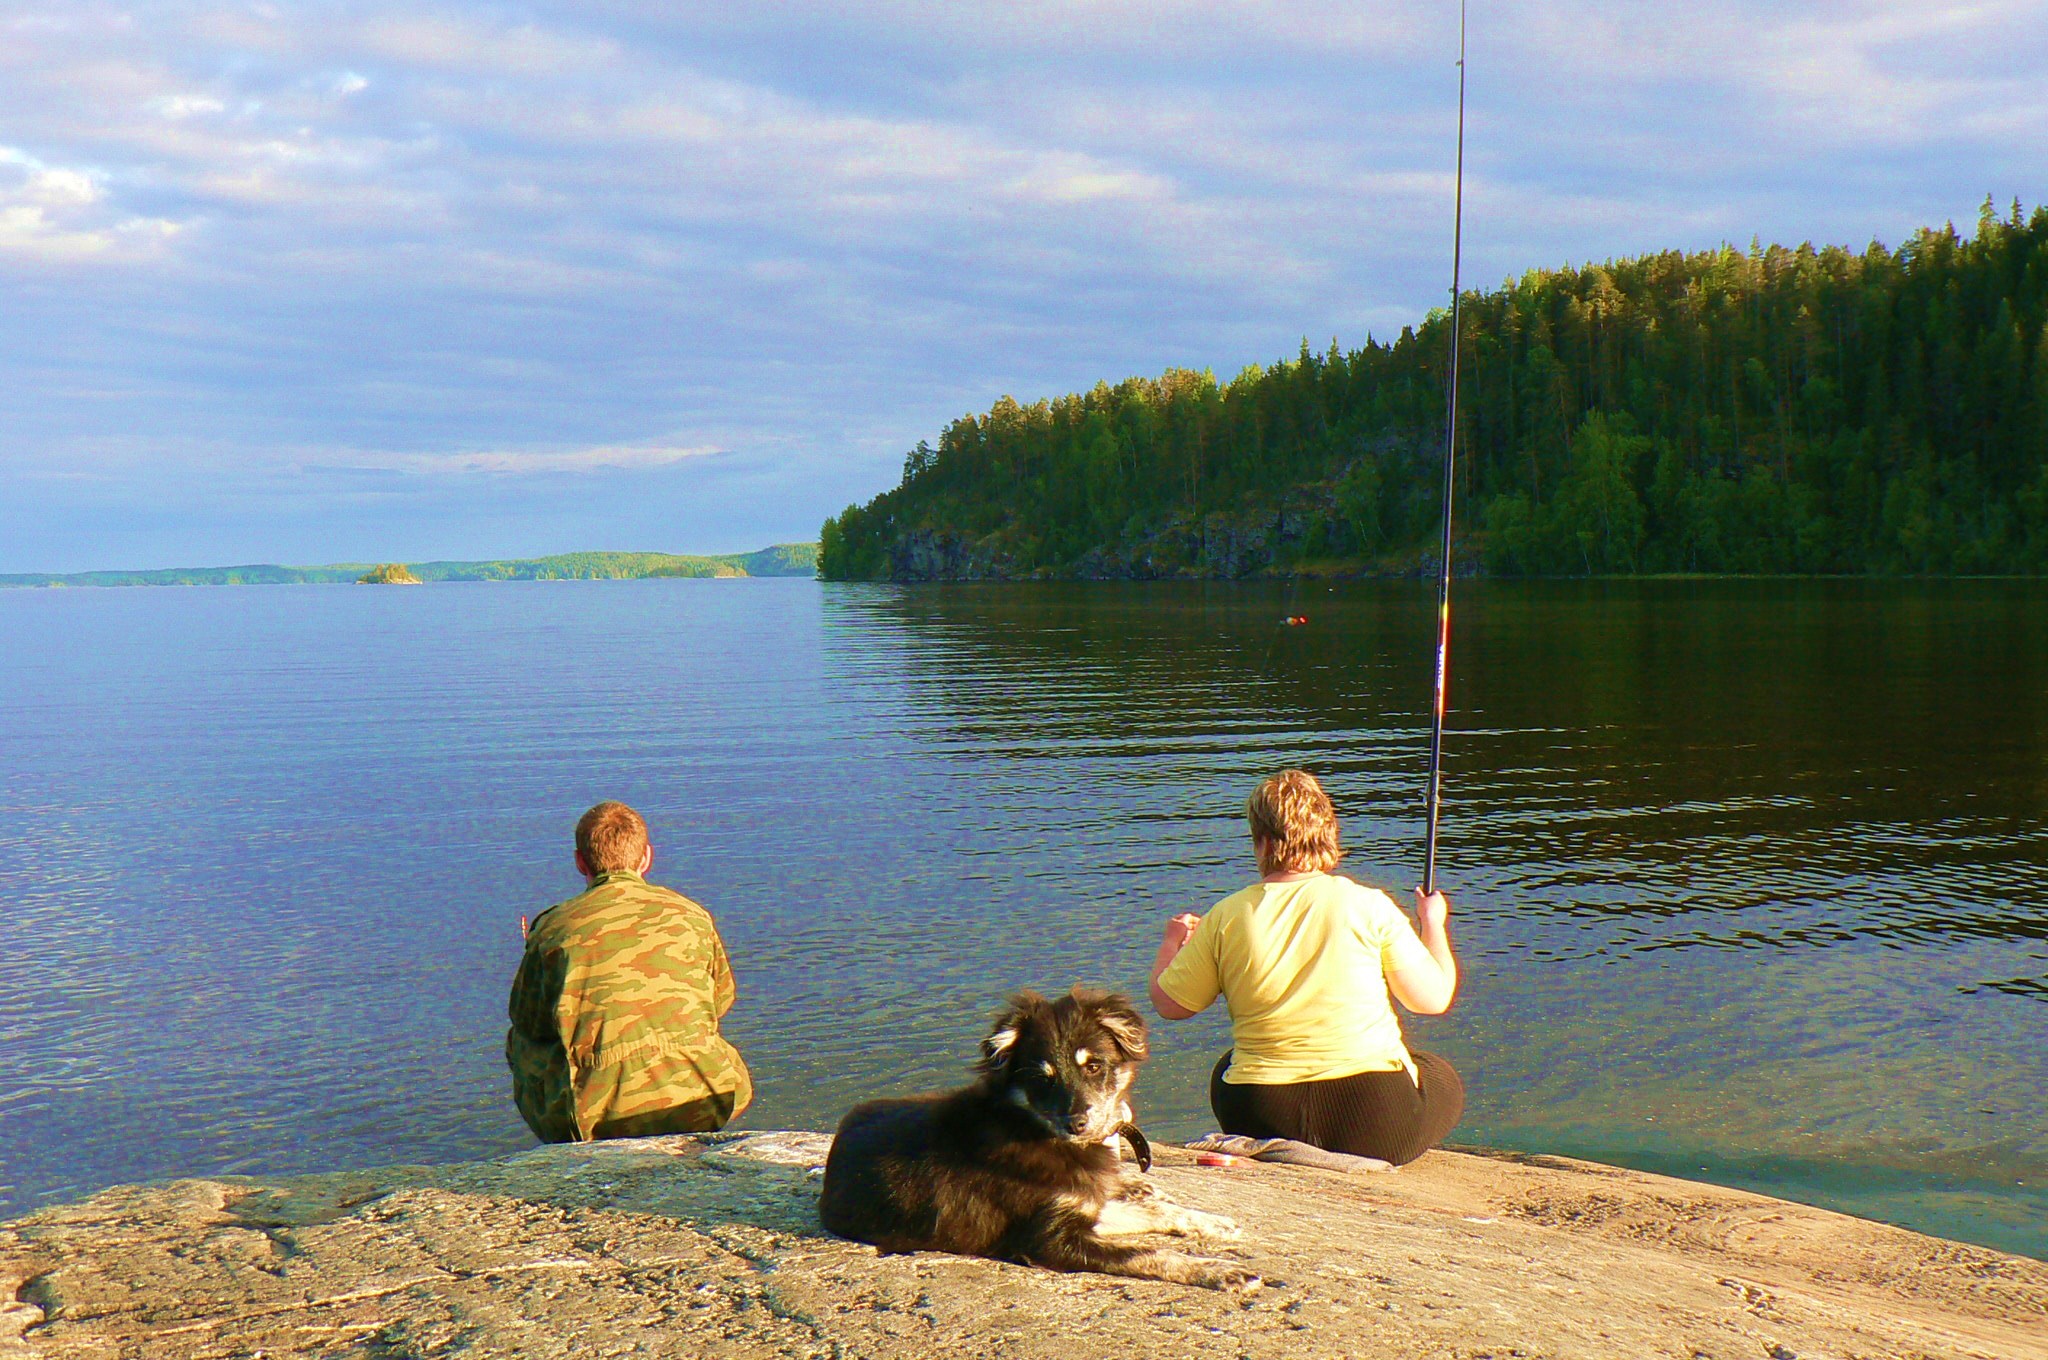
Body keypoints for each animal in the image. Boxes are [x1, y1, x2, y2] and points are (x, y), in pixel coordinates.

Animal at [815, 987, 1245, 1286]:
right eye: (1042, 1078)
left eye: (1094, 1066)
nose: (1077, 1124)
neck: (1034, 1130)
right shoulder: (1047, 1240)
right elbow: (1147, 1252)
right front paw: (1218, 1270)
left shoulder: (1080, 1208)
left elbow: (1152, 1214)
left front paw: (1214, 1223)